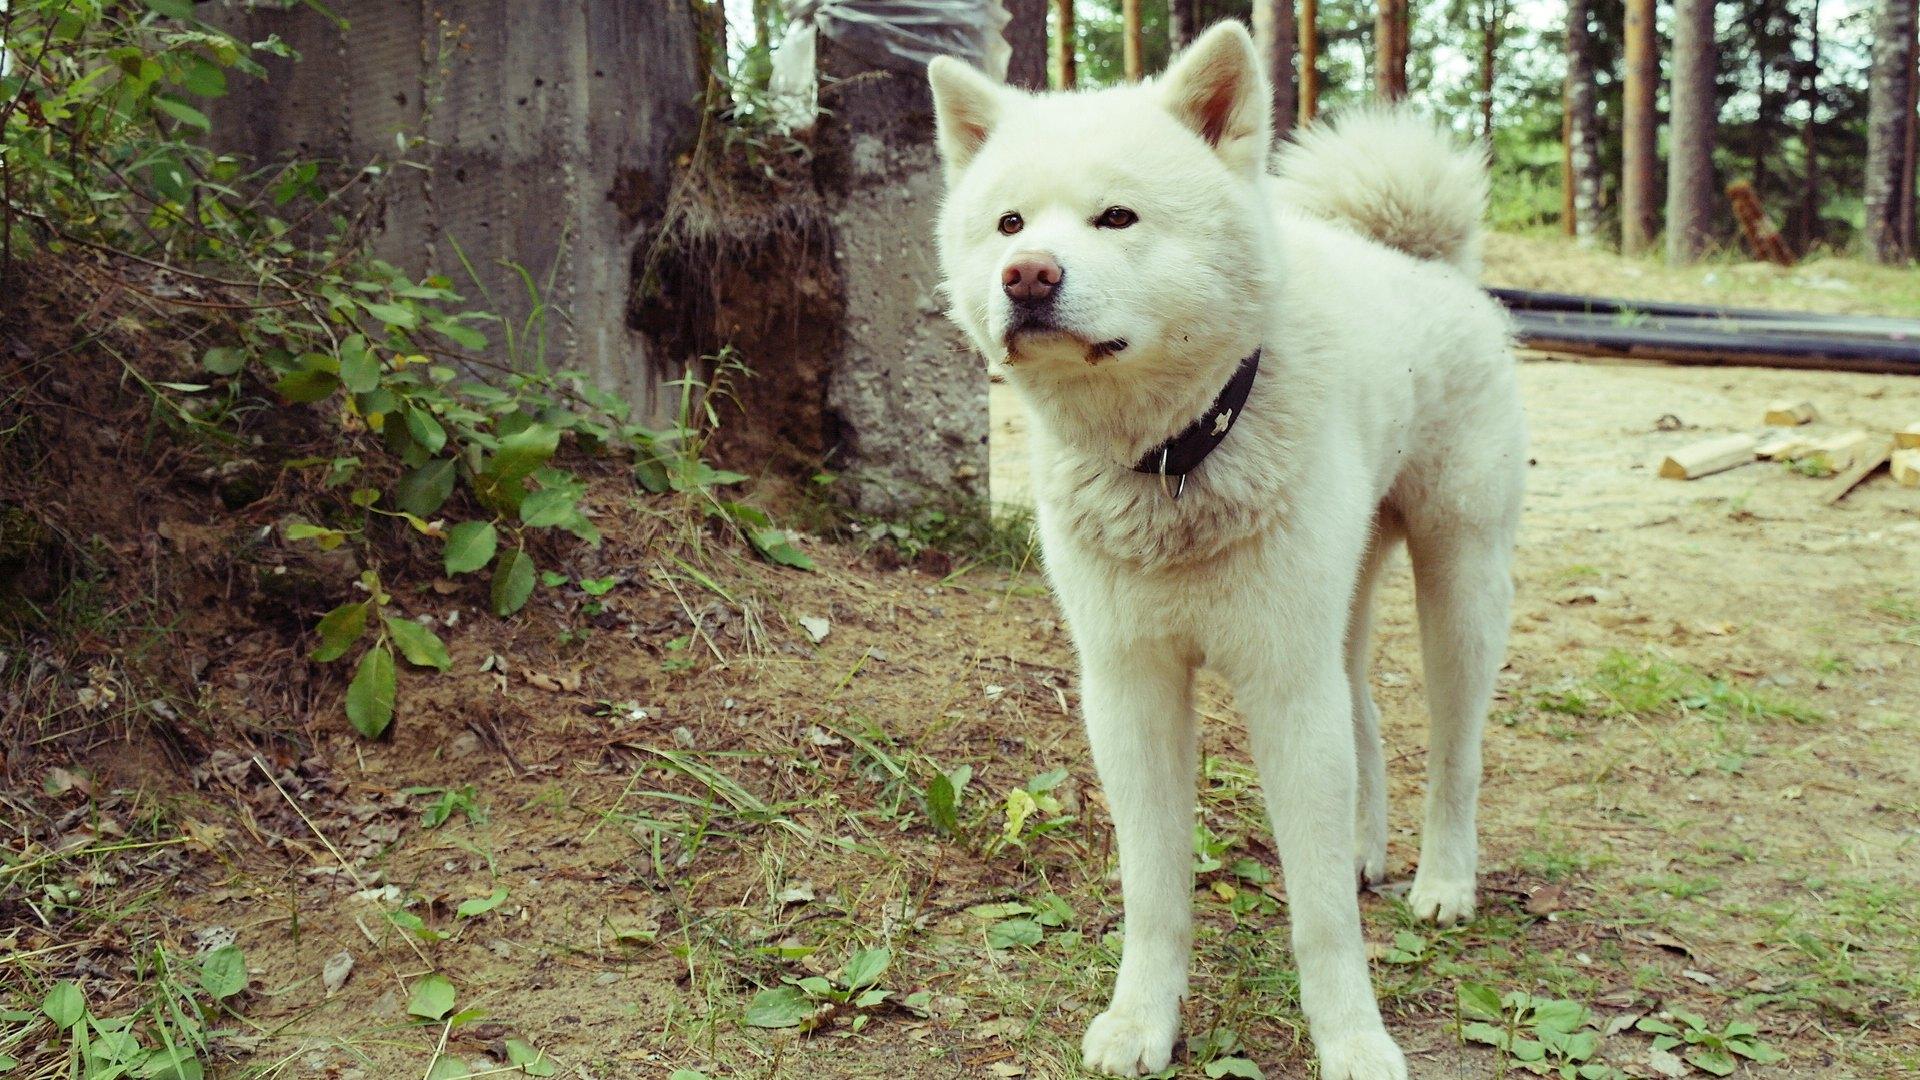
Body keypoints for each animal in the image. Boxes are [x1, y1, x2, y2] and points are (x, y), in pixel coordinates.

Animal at [929, 18, 1528, 1076]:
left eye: (1117, 217)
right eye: (1007, 223)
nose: (1028, 274)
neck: (1175, 458)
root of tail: (1421, 259)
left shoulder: (1283, 684)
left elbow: (1320, 913)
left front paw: (1352, 1039)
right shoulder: (1131, 686)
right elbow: (1153, 886)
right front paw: (1142, 1020)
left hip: (1459, 587)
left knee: (1457, 751)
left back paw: (1444, 880)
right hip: (1339, 609)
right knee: (1367, 714)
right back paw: (1371, 846)